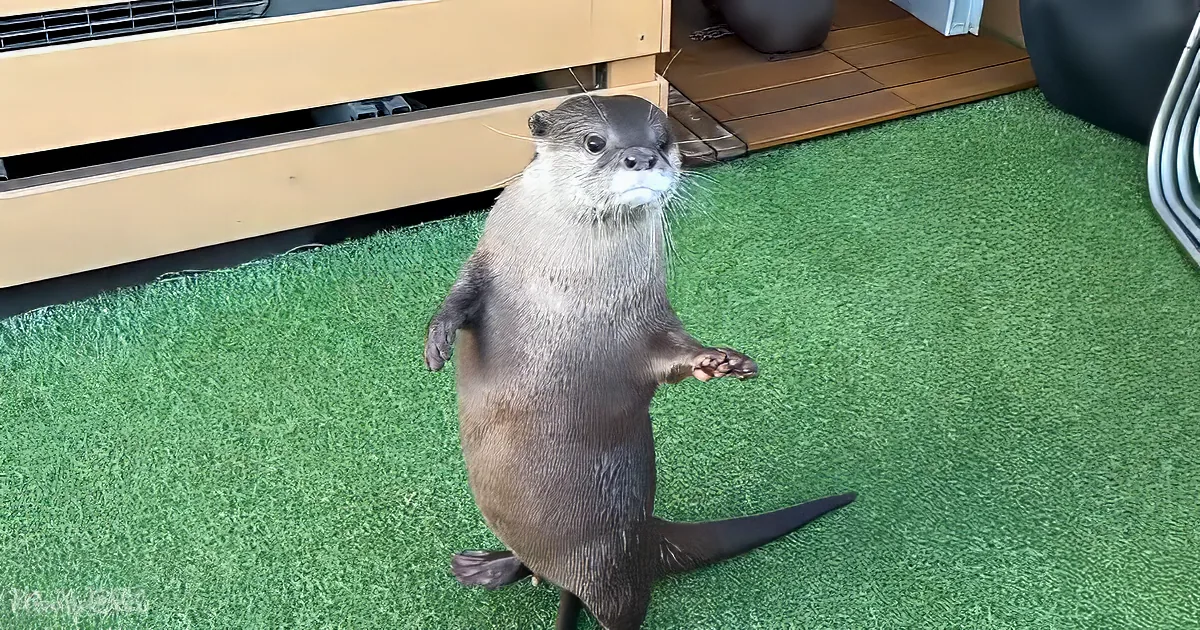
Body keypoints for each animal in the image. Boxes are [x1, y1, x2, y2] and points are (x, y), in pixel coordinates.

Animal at [424, 93, 855, 629]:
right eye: (595, 142)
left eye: (664, 140)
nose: (643, 157)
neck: (563, 290)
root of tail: (650, 535)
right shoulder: (487, 260)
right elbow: (461, 293)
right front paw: (436, 341)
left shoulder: (650, 318)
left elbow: (670, 353)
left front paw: (721, 363)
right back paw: (489, 567)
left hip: (611, 563)